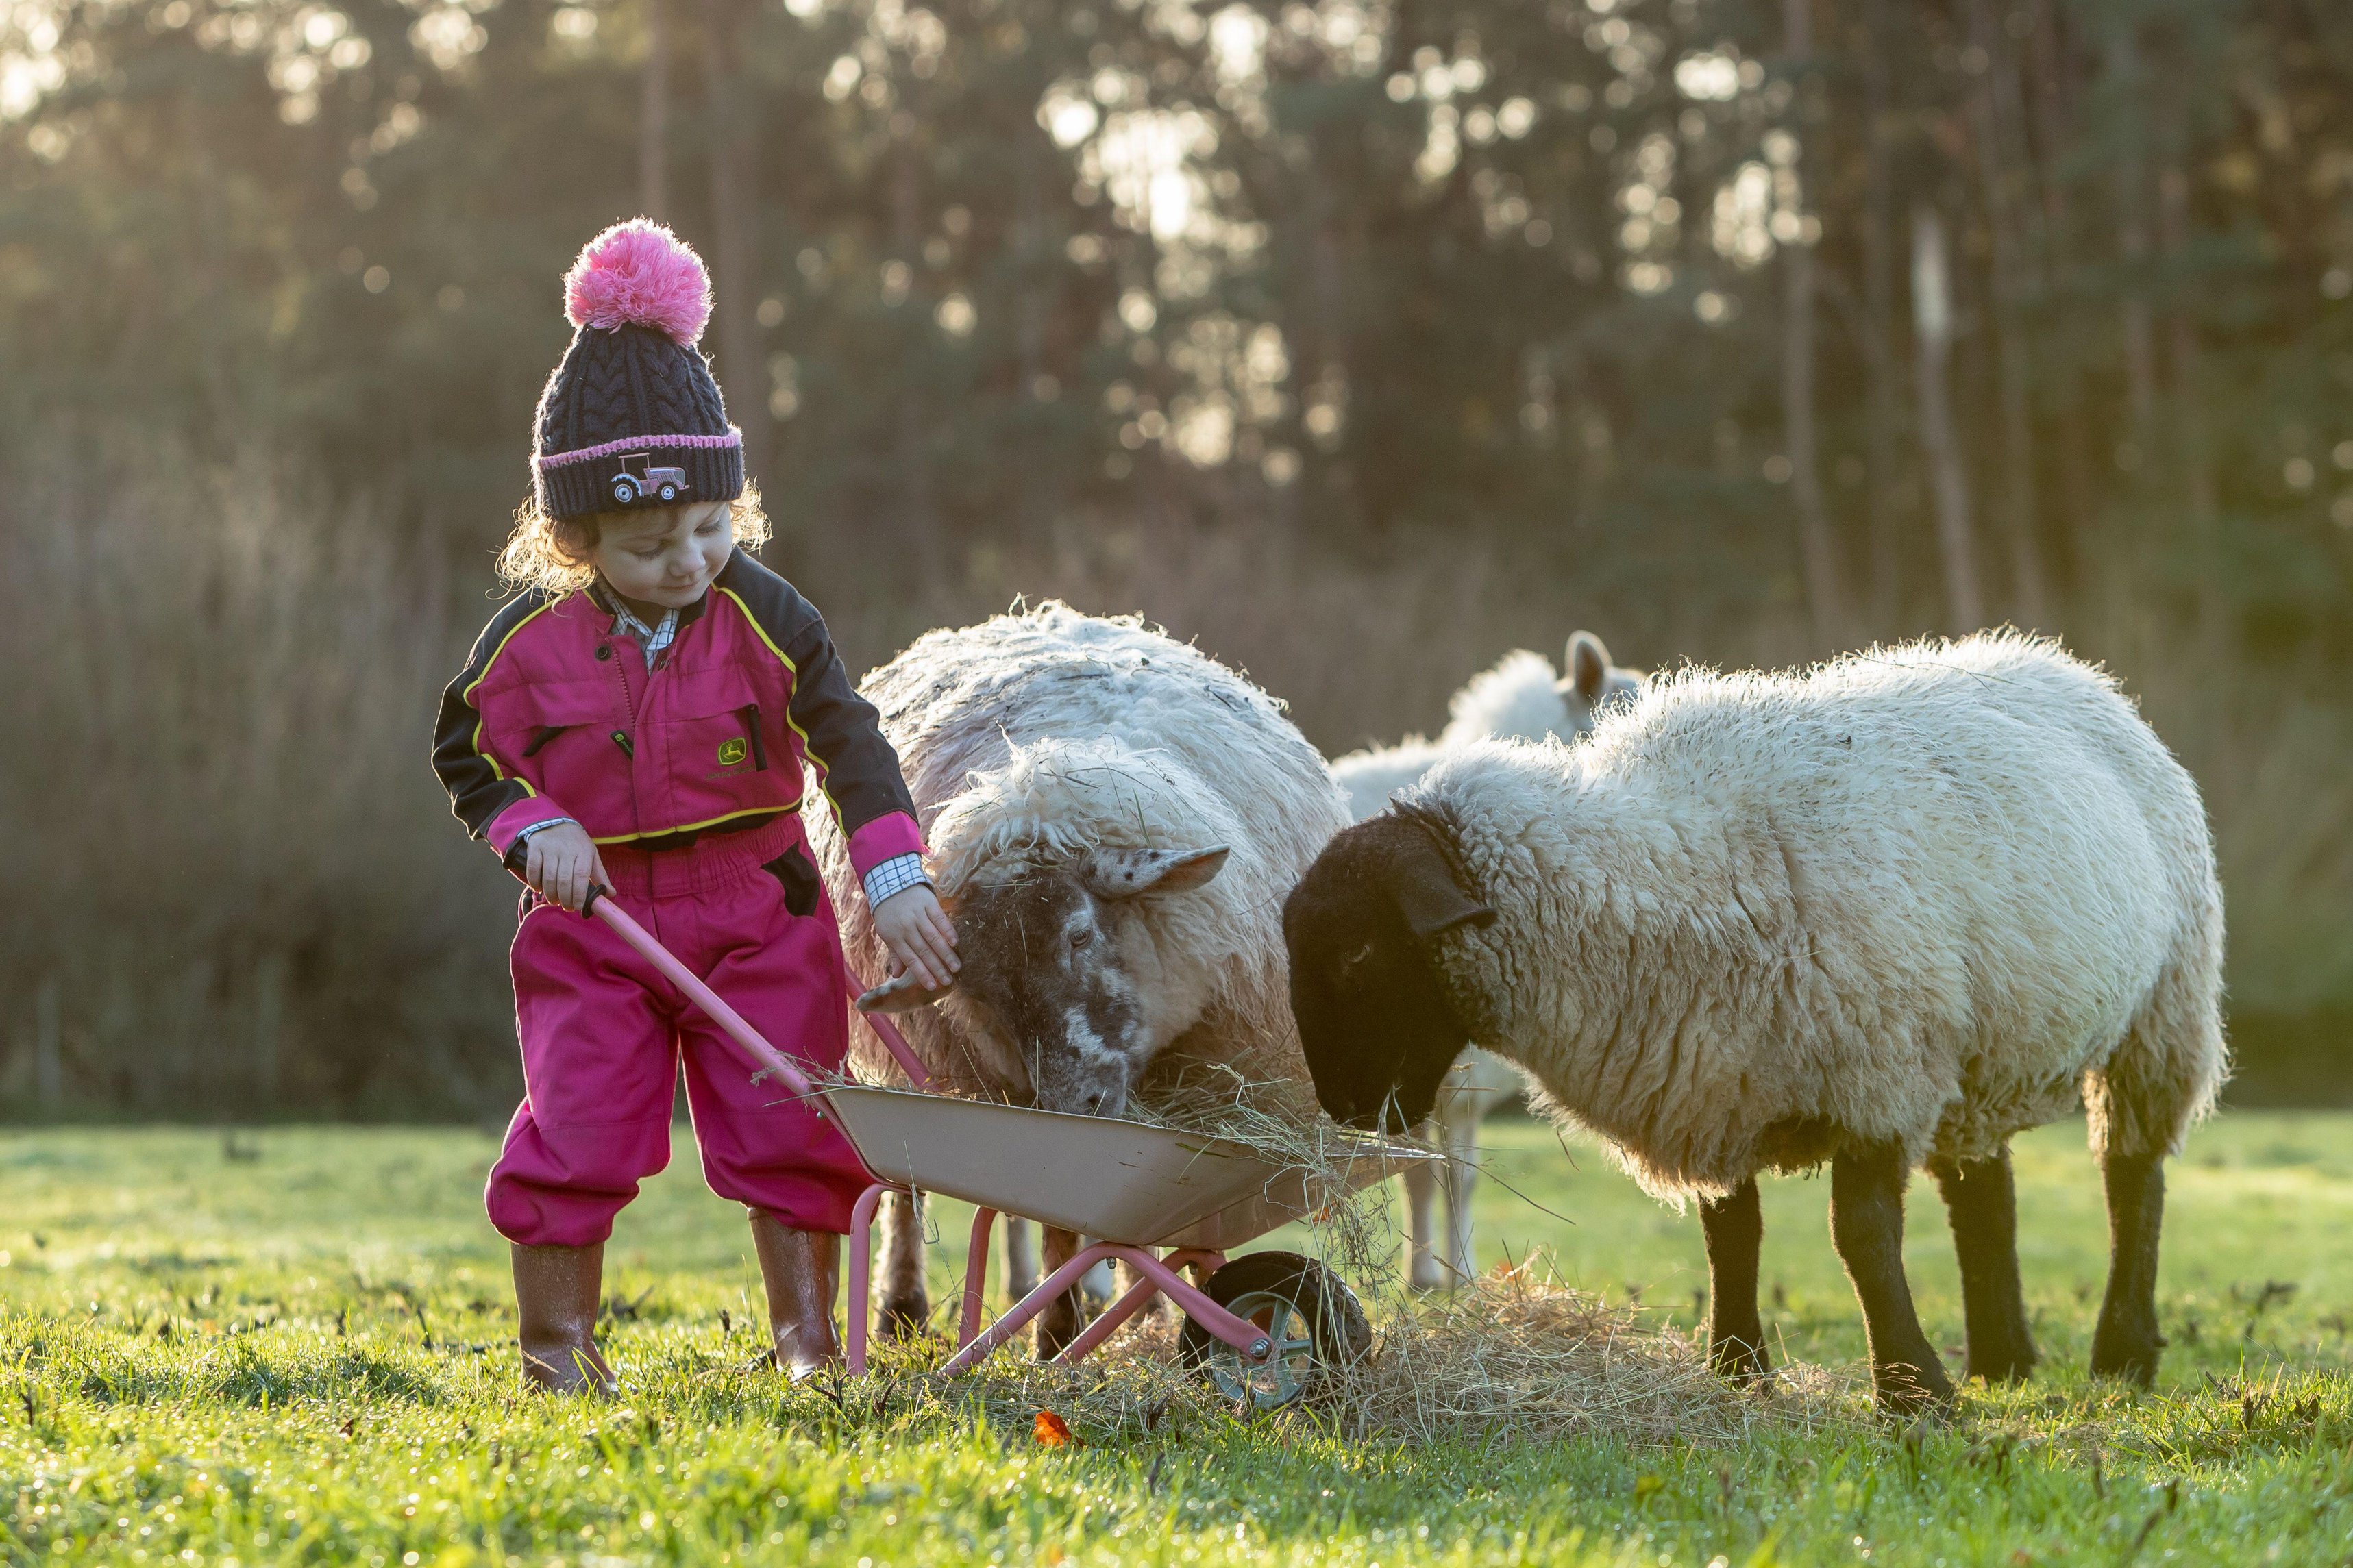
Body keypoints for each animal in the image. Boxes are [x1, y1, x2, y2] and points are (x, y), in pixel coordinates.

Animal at [808, 601, 1349, 1354]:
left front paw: (1176, 1306)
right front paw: (1056, 1334)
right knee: (906, 1193)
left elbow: (1175, 1219)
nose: (1075, 1104)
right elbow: (1061, 1217)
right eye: (981, 991)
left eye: (1081, 934)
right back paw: (901, 1308)